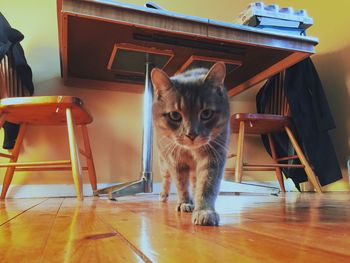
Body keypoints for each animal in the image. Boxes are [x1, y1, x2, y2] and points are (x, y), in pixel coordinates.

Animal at [150, 62, 230, 227]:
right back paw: (164, 195)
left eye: (206, 113)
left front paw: (204, 210)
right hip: (163, 163)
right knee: (167, 180)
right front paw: (184, 203)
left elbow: (207, 185)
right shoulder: (175, 161)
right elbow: (181, 184)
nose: (191, 134)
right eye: (175, 115)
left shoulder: (213, 157)